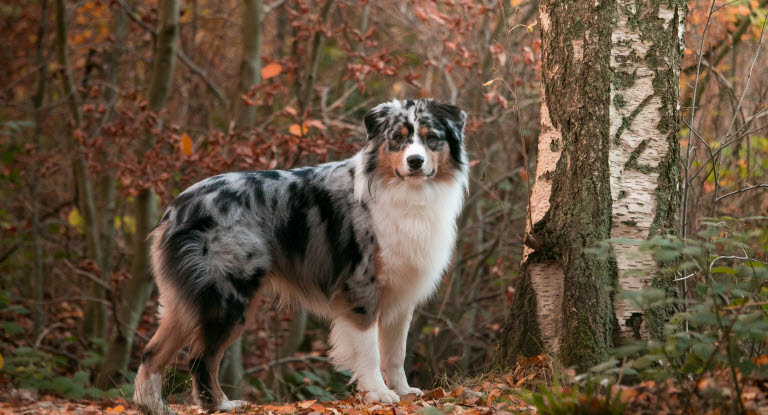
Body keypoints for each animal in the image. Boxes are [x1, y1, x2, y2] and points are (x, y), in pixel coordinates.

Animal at [134, 99, 468, 414]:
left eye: (431, 138)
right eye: (398, 138)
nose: (415, 161)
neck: (404, 191)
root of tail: (178, 206)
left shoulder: (400, 292)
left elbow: (396, 352)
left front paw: (403, 391)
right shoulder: (361, 287)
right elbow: (370, 349)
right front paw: (378, 393)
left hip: (187, 301)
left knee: (152, 352)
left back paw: (154, 407)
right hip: (228, 298)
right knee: (200, 357)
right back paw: (221, 405)